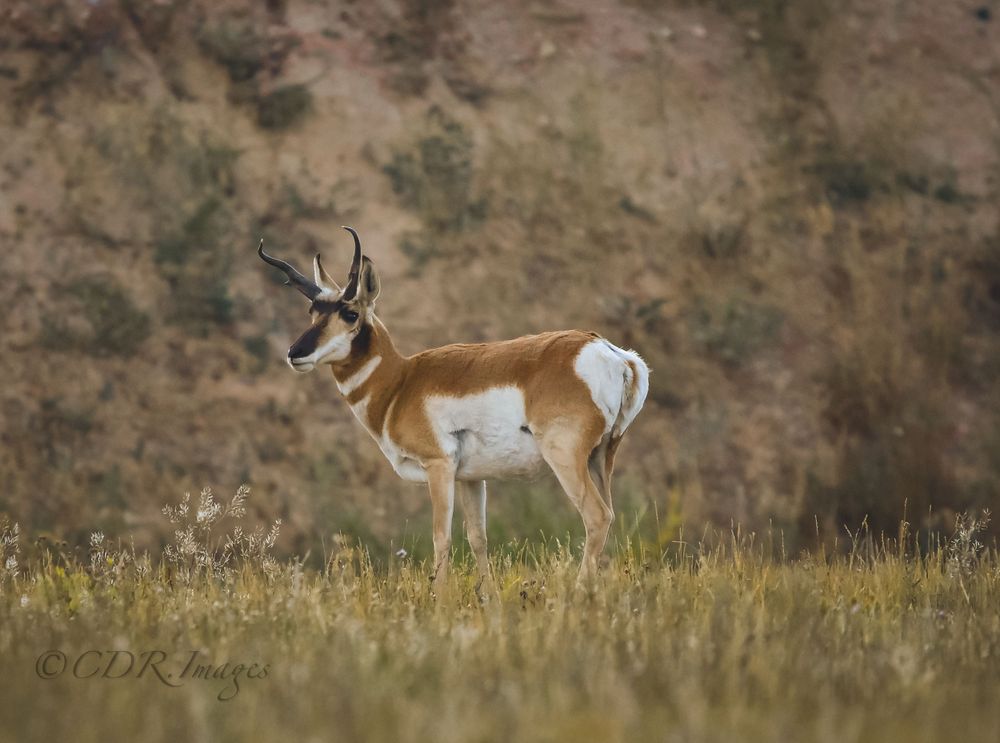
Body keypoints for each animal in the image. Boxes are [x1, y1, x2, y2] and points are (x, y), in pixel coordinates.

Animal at [258, 227, 649, 589]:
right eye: (313, 310)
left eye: (350, 313)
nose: (295, 353)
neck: (401, 382)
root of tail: (610, 352)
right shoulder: (472, 479)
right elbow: (478, 538)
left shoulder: (439, 467)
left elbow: (442, 538)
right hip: (602, 457)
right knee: (610, 516)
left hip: (565, 457)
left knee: (596, 516)